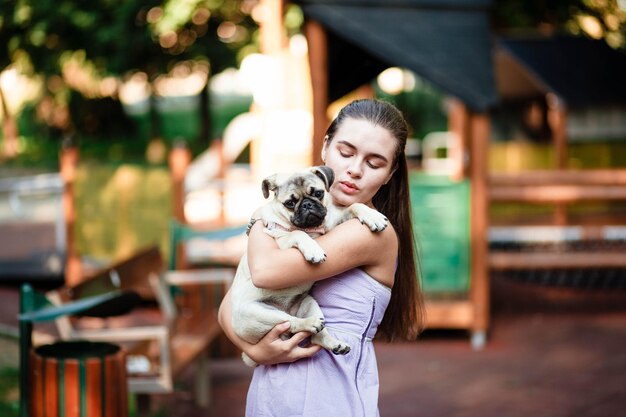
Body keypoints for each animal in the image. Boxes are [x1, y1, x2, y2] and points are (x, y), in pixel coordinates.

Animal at [229, 164, 386, 366]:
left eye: (318, 193)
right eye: (290, 203)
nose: (307, 204)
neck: (313, 229)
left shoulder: (335, 220)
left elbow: (353, 205)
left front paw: (372, 216)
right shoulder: (279, 239)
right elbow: (298, 234)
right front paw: (313, 249)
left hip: (309, 303)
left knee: (315, 335)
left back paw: (334, 343)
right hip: (258, 314)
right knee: (291, 322)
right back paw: (309, 323)